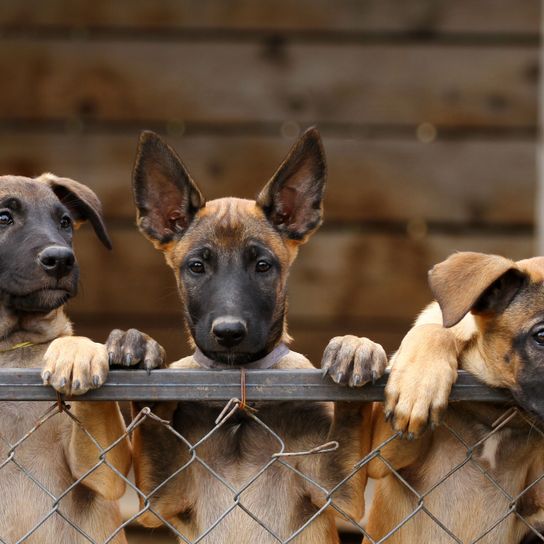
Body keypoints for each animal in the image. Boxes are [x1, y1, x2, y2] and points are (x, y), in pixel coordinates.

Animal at [106, 129, 386, 544]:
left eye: (263, 266)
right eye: (196, 266)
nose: (229, 333)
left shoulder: (337, 488)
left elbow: (351, 414)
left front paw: (355, 349)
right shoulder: (161, 497)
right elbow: (152, 417)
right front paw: (134, 343)